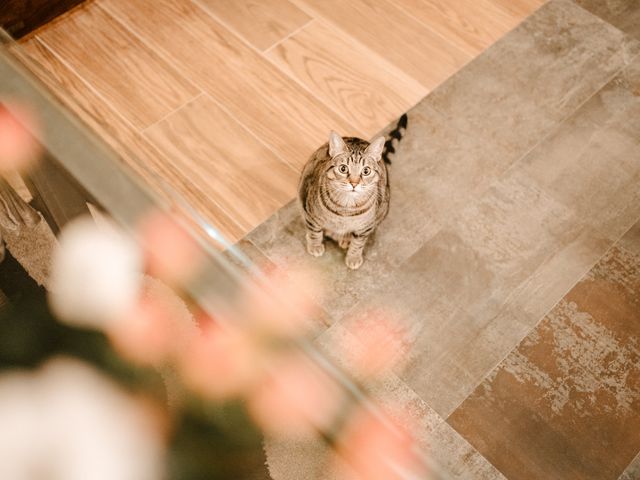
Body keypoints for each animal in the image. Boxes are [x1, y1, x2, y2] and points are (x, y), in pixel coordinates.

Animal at [298, 115, 408, 268]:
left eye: (366, 171)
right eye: (343, 168)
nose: (354, 183)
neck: (346, 210)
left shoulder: (365, 228)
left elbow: (358, 244)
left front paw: (353, 257)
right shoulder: (310, 211)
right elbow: (314, 231)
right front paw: (315, 246)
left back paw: (345, 239)